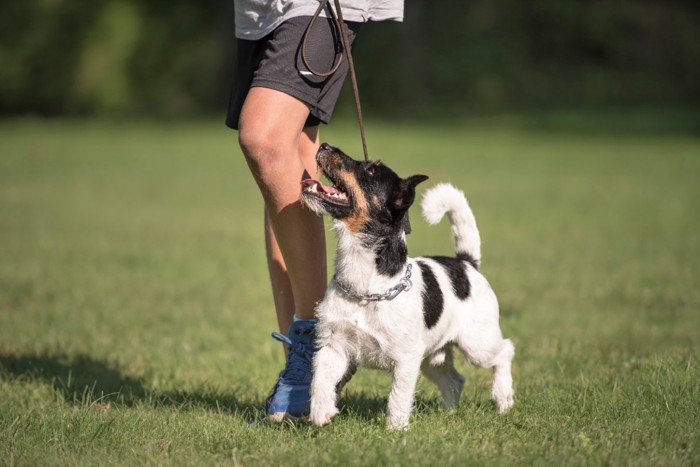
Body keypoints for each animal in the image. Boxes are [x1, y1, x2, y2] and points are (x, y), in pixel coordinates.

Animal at [300, 144, 516, 432]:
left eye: (371, 170)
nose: (324, 146)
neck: (365, 288)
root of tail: (467, 263)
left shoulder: (406, 359)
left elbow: (398, 397)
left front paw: (396, 431)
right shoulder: (333, 345)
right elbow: (320, 379)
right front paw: (321, 412)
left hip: (477, 344)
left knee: (505, 351)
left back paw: (503, 400)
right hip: (432, 357)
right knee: (454, 380)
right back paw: (449, 414)